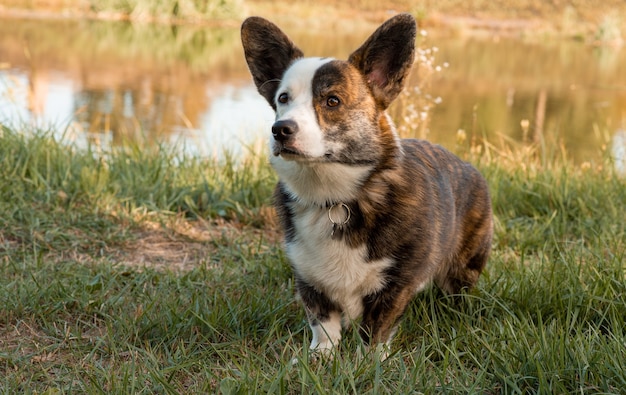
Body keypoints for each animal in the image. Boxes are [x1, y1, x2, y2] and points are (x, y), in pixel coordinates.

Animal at [239, 13, 492, 358]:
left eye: (332, 101)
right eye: (282, 98)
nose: (280, 129)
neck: (334, 198)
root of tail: (466, 163)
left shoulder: (395, 283)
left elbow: (376, 328)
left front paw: (368, 362)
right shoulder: (309, 278)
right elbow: (323, 323)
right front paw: (321, 356)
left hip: (463, 268)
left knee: (457, 295)